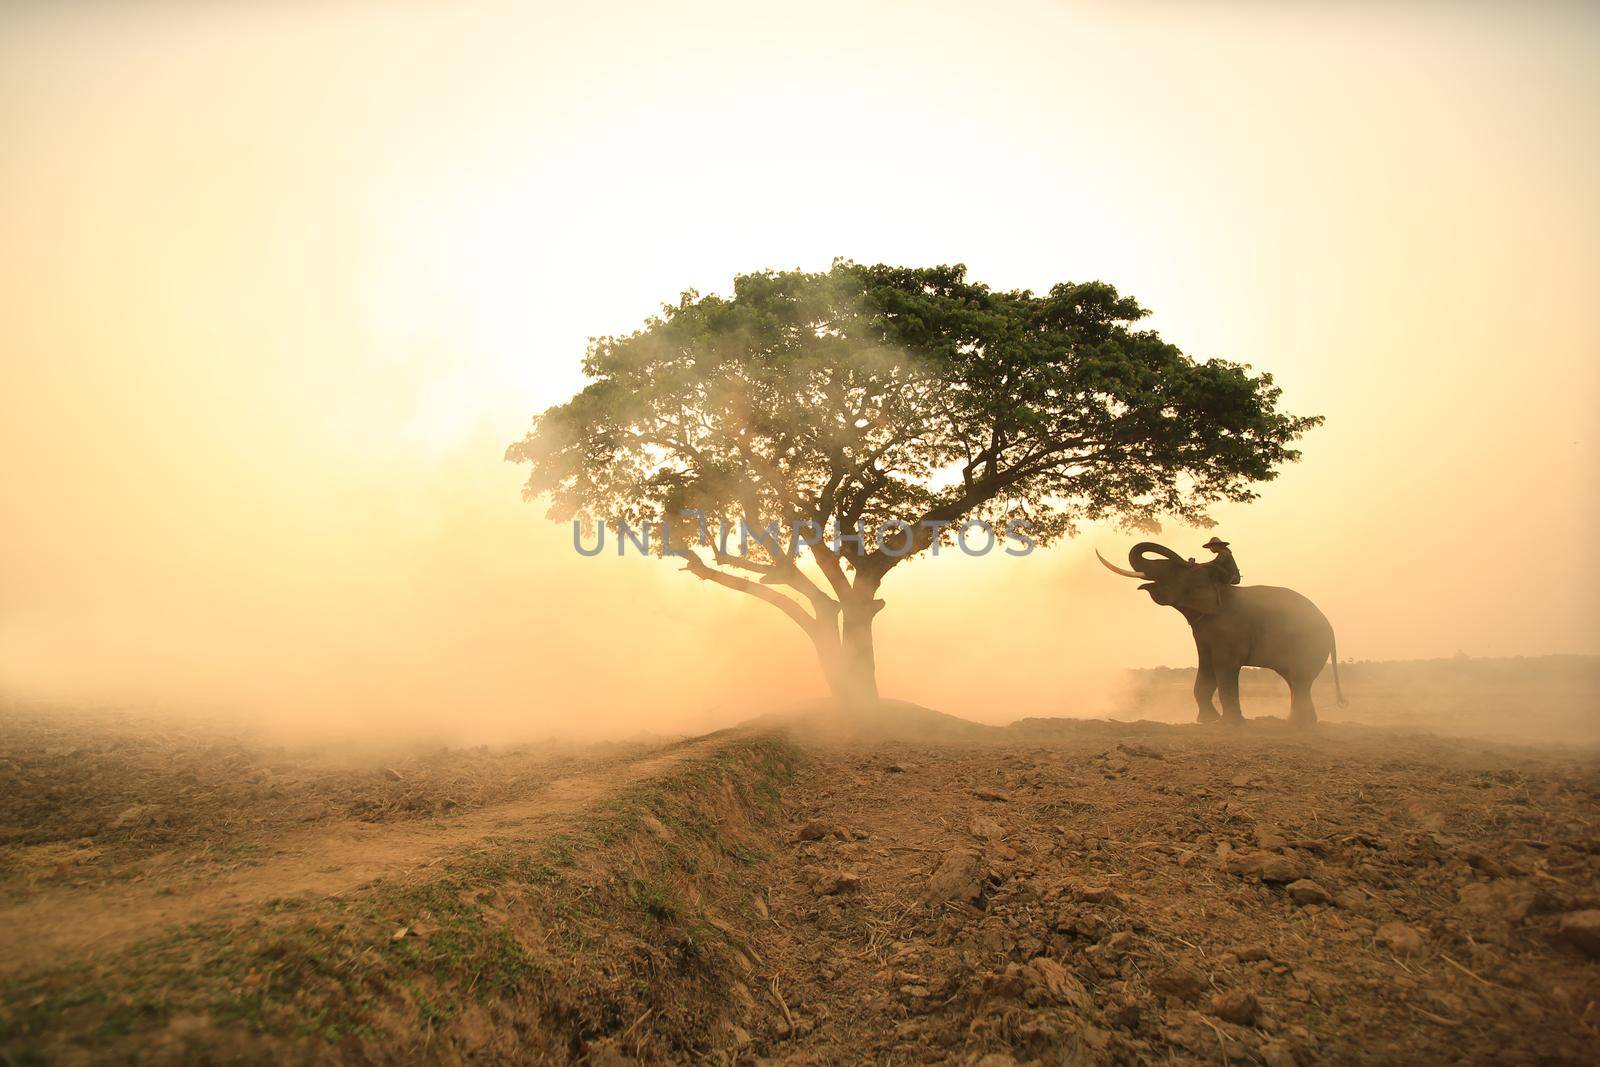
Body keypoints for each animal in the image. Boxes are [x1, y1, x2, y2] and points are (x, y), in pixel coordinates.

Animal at [1094, 543, 1344, 726]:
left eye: (1175, 571)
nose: (1190, 558)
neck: (1218, 586)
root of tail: (1331, 629)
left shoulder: (1230, 629)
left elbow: (1224, 665)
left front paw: (1230, 724)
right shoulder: (1204, 630)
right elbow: (1206, 665)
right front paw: (1207, 721)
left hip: (1309, 644)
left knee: (1300, 680)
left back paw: (1298, 724)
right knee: (1295, 681)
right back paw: (1299, 722)